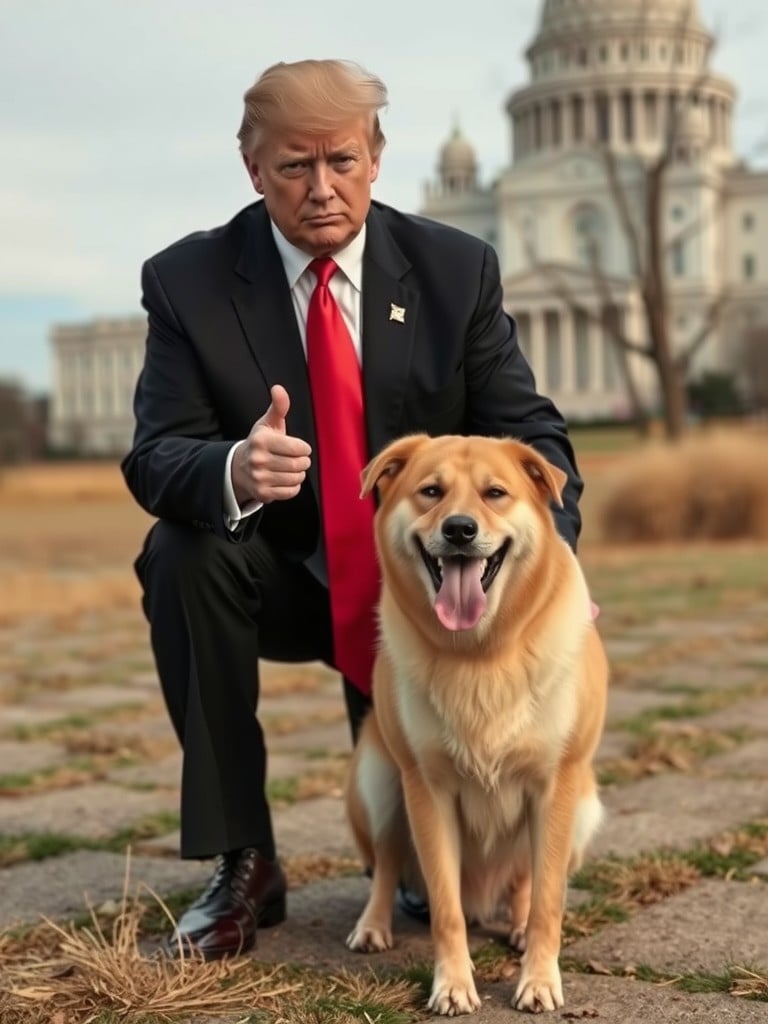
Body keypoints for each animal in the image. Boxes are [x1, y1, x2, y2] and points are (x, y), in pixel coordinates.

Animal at [348, 434, 606, 1015]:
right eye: (430, 491)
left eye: (495, 493)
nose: (460, 529)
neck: (480, 655)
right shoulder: (428, 790)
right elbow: (444, 910)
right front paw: (453, 984)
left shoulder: (555, 786)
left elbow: (548, 900)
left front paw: (538, 979)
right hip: (378, 782)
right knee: (388, 863)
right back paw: (372, 926)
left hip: (584, 809)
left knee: (525, 882)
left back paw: (517, 923)